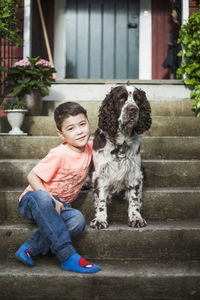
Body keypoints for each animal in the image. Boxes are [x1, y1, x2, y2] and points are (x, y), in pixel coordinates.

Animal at [90, 84, 151, 230]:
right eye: (121, 98)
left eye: (137, 99)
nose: (133, 109)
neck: (120, 144)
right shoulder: (100, 174)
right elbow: (100, 199)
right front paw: (100, 219)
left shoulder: (134, 172)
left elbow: (134, 198)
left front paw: (136, 217)